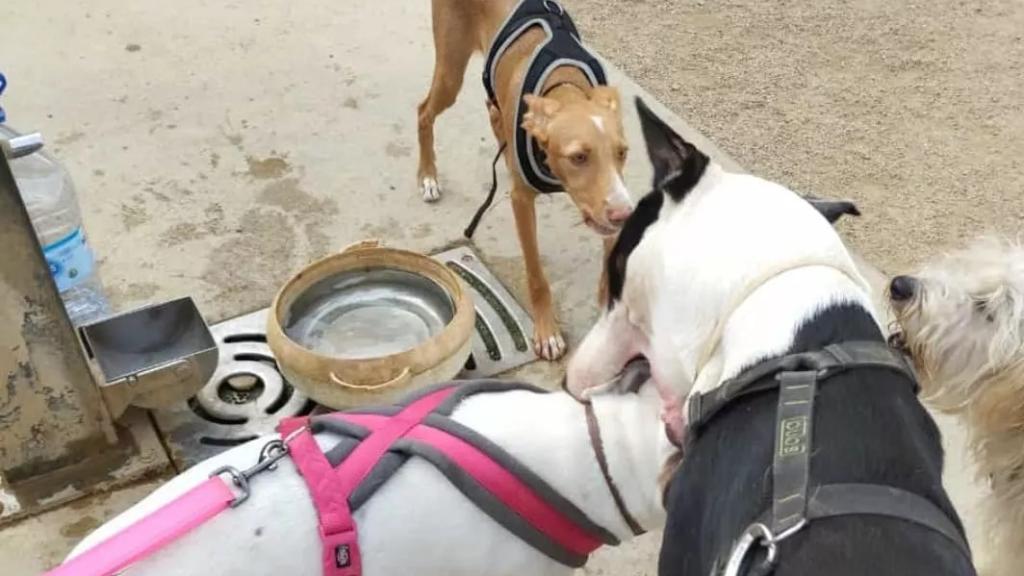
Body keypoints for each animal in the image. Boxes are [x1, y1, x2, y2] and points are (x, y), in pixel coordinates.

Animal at [415, 0, 630, 358]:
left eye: (622, 152)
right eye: (578, 157)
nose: (623, 214)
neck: (565, 85)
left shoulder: (613, 197)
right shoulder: (522, 202)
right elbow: (536, 275)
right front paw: (547, 333)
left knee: (492, 110)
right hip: (450, 70)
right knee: (423, 112)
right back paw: (428, 177)